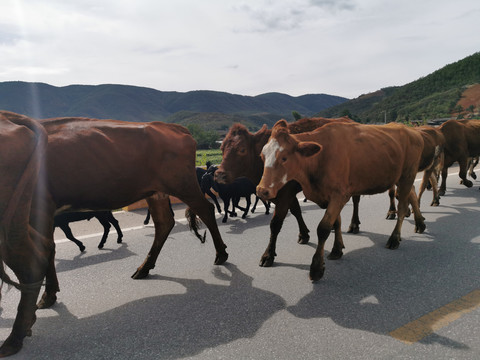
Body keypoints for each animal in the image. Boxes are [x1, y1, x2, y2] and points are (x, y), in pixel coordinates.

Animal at [214, 116, 356, 268]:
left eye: (242, 149)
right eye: (221, 148)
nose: (220, 174)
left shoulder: (284, 195)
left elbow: (275, 224)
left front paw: (268, 255)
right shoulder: (288, 194)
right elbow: (296, 211)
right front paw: (304, 235)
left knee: (356, 200)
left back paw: (353, 226)